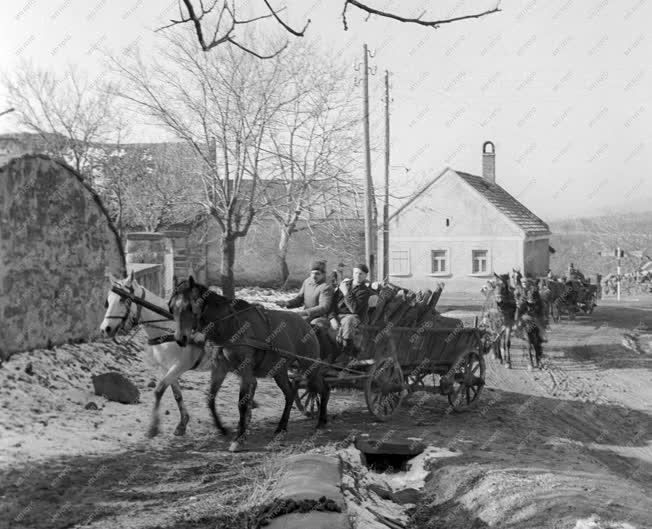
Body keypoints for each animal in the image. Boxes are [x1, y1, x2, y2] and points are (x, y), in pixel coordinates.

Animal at [99, 272, 211, 438]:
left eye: (123, 299)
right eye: (108, 300)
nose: (105, 329)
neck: (168, 329)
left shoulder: (179, 366)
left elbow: (159, 390)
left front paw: (153, 427)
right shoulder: (166, 368)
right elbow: (177, 395)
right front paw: (182, 423)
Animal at [169, 274, 332, 452]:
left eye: (189, 307)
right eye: (172, 308)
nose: (180, 339)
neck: (229, 326)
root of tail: (306, 323)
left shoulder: (245, 370)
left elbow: (242, 403)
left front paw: (238, 439)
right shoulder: (219, 368)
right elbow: (210, 399)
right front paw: (222, 428)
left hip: (309, 366)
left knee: (323, 388)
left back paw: (321, 421)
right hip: (279, 370)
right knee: (290, 393)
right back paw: (281, 427)